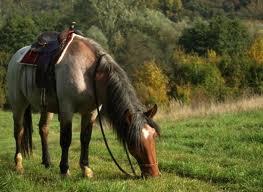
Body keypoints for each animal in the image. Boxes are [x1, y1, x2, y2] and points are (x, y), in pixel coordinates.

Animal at [6, 32, 161, 177]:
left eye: (154, 136)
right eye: (134, 143)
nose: (153, 173)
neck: (87, 71)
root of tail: (17, 56)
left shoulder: (91, 112)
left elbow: (85, 139)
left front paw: (86, 169)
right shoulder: (67, 109)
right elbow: (66, 139)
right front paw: (64, 170)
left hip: (46, 107)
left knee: (43, 129)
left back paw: (47, 162)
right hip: (18, 104)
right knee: (18, 131)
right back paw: (18, 165)